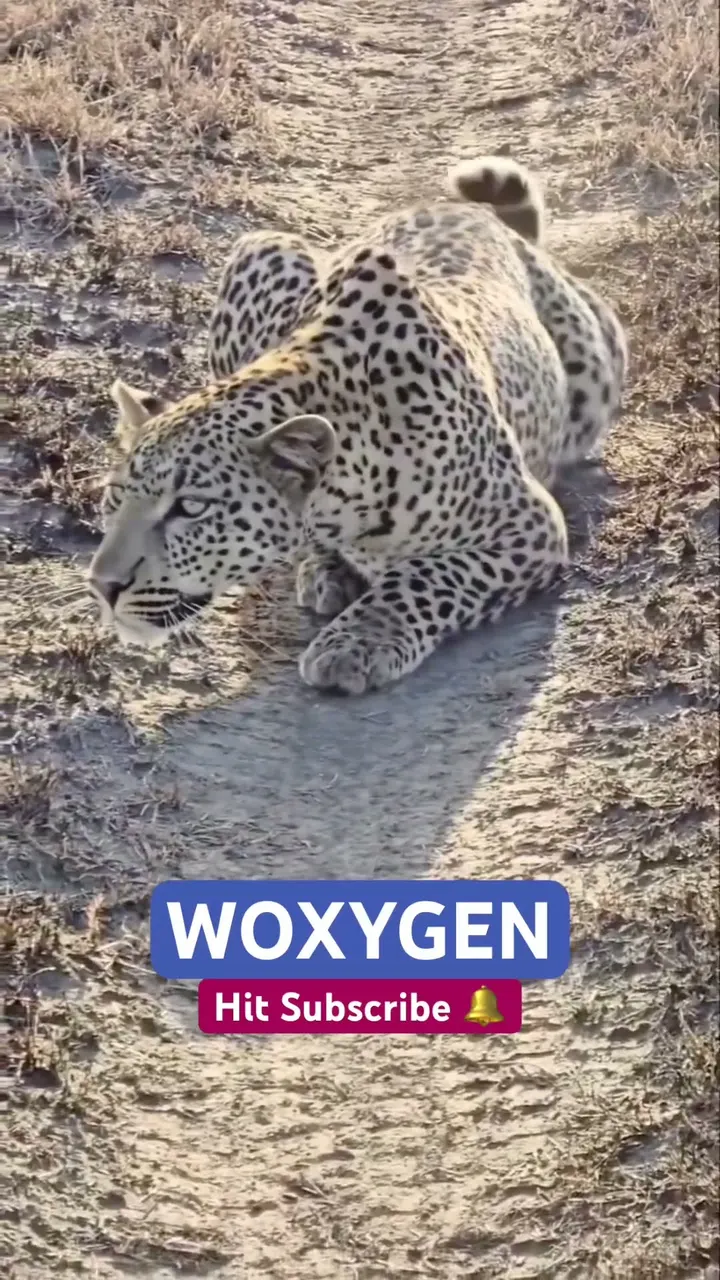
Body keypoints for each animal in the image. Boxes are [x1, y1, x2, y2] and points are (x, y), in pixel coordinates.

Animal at [88, 154, 627, 695]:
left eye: (191, 508)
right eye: (116, 497)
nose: (103, 586)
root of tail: (477, 216)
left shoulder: (526, 522)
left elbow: (428, 575)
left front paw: (356, 644)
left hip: (596, 377)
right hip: (261, 246)